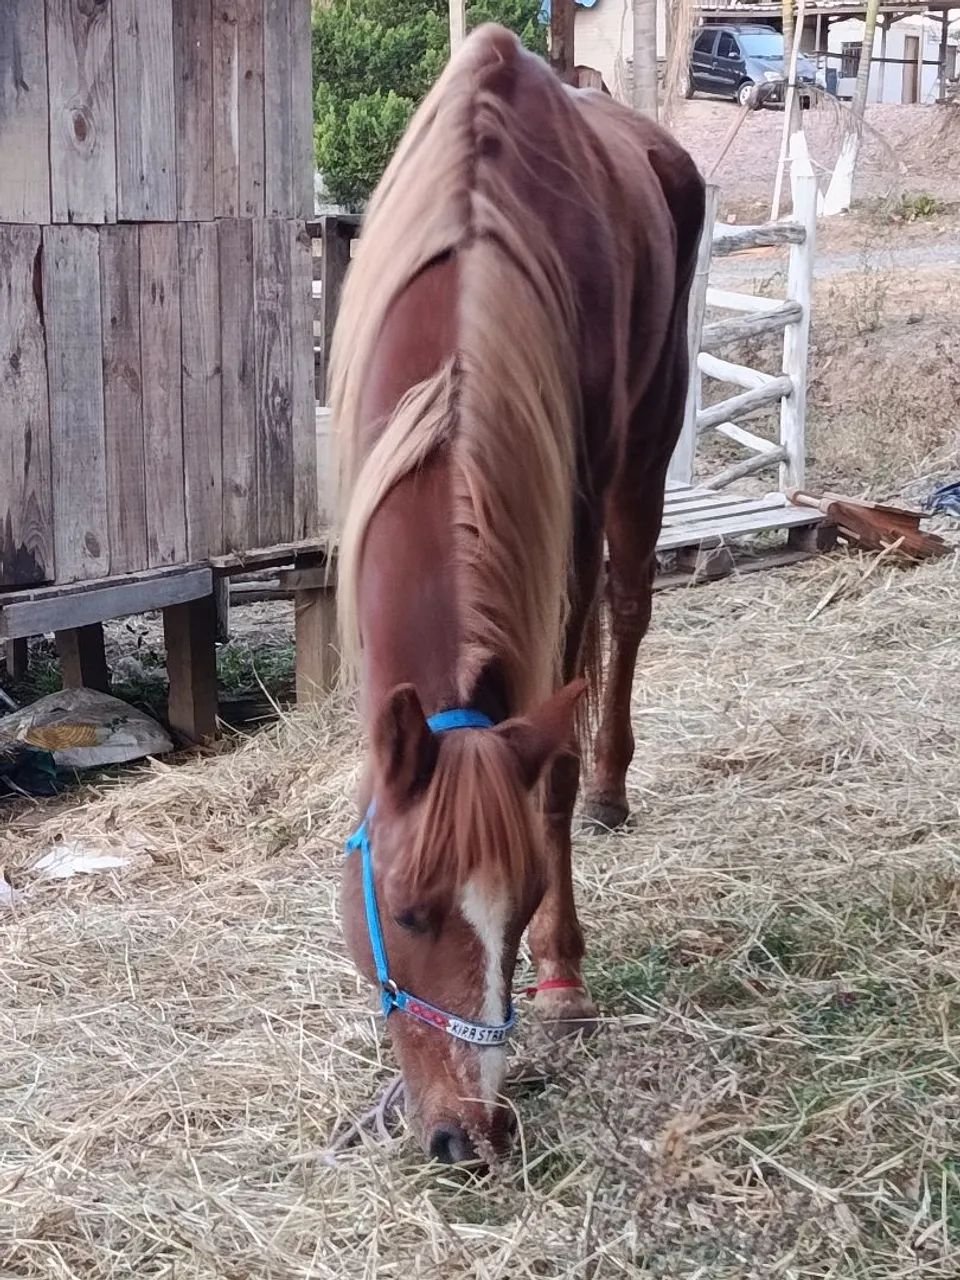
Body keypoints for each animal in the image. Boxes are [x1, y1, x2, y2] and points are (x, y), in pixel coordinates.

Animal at [330, 24, 704, 1164]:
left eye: (529, 892)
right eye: (405, 911)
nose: (471, 1132)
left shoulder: (568, 531)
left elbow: (554, 763)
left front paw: (565, 970)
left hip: (645, 454)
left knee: (632, 614)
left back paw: (615, 785)